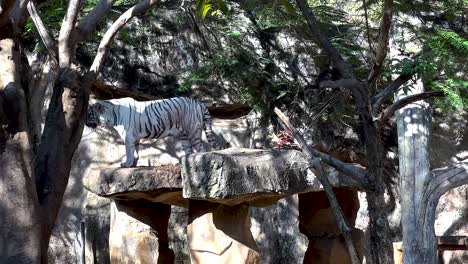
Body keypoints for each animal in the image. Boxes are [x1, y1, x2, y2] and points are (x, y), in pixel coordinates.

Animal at [85, 97, 220, 167]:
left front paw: (126, 164)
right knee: (189, 149)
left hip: (192, 129)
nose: (85, 123)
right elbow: (135, 151)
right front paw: (133, 164)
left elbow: (128, 151)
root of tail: (198, 102)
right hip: (184, 135)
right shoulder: (134, 137)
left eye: (89, 114)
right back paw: (184, 162)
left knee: (201, 149)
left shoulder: (128, 137)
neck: (111, 115)